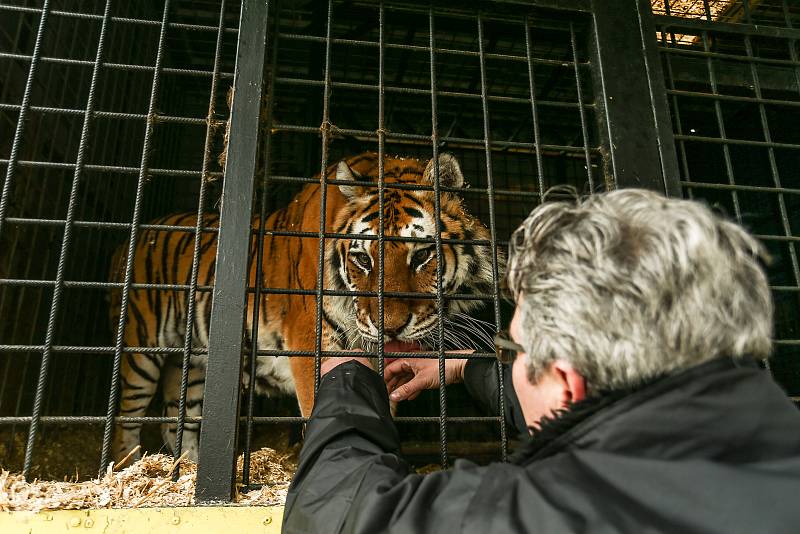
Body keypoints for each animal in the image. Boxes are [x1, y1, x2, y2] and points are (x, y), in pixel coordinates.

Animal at [109, 152, 500, 464]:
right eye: (363, 259)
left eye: (421, 256)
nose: (388, 328)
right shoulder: (315, 348)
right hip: (140, 350)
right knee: (126, 418)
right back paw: (127, 466)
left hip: (192, 368)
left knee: (179, 419)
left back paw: (187, 468)